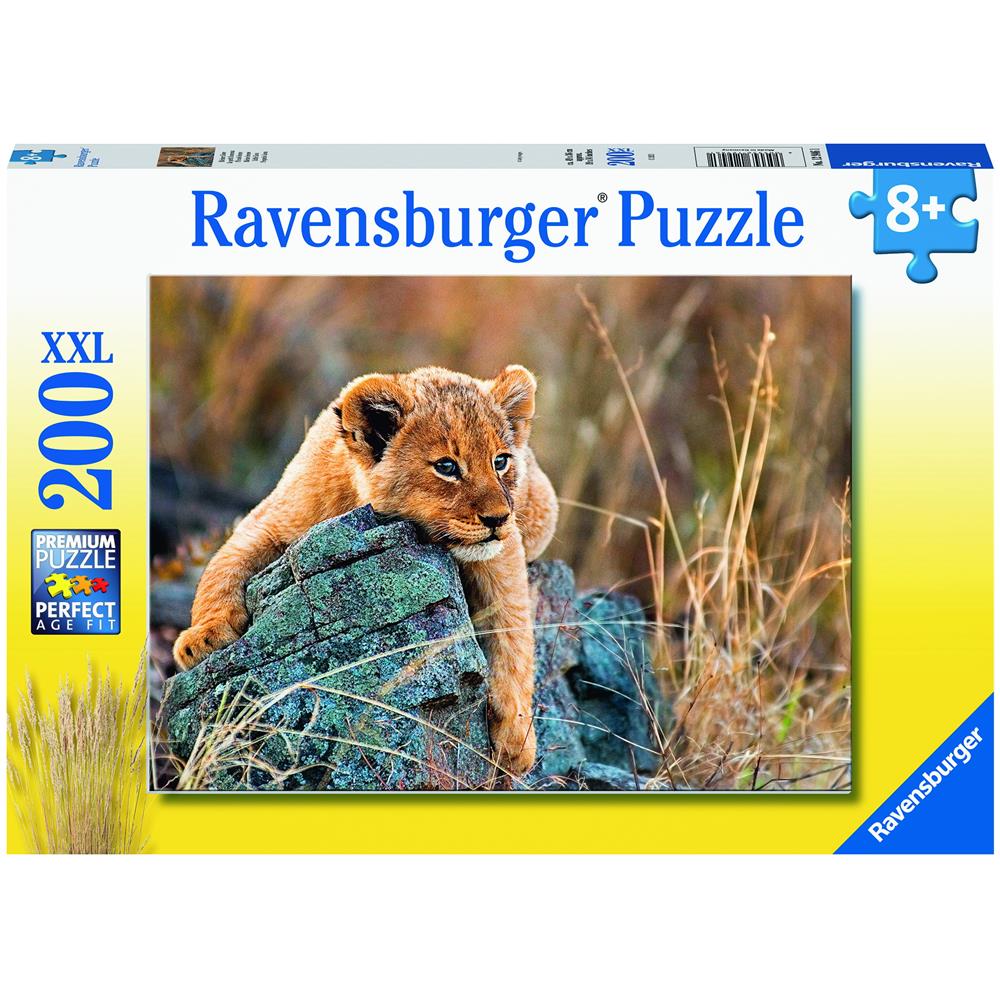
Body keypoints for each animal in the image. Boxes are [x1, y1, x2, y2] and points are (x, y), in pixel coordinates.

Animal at [173, 364, 558, 776]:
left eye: (500, 461)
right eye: (446, 467)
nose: (498, 519)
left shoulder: (502, 554)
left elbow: (513, 632)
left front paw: (517, 738)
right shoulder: (270, 520)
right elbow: (221, 566)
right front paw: (202, 638)